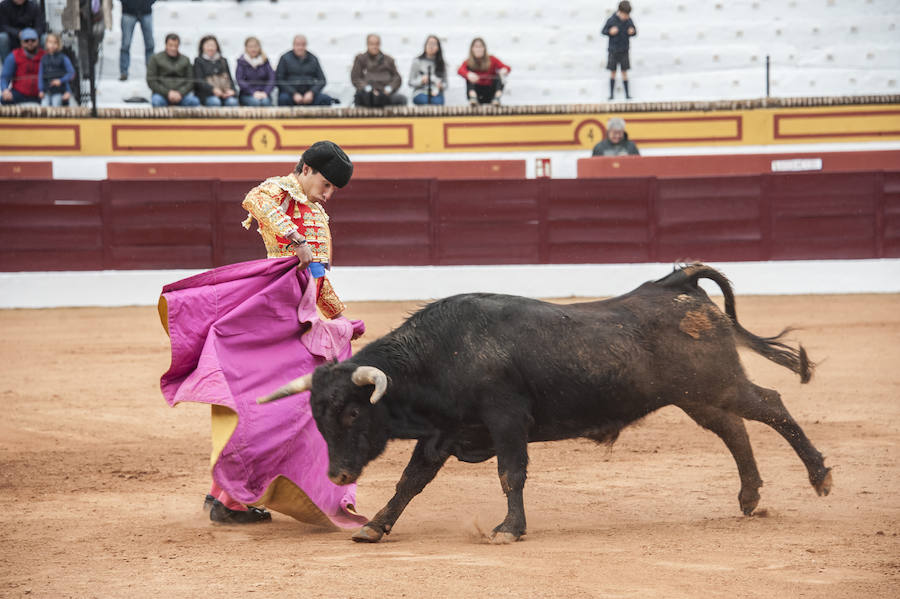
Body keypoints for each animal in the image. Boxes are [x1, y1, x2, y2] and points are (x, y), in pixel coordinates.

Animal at [258, 264, 828, 548]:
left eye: (353, 413)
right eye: (317, 417)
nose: (336, 475)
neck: (441, 353)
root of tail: (676, 285)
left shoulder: (507, 420)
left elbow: (510, 474)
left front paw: (508, 529)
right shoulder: (443, 433)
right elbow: (410, 481)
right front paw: (375, 526)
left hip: (717, 385)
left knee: (771, 406)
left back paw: (820, 477)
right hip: (697, 398)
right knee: (734, 430)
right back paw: (750, 498)